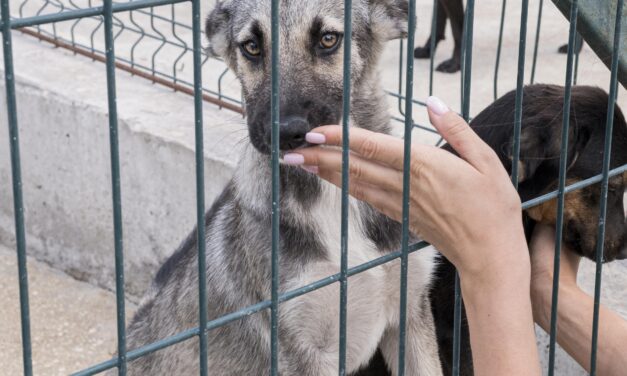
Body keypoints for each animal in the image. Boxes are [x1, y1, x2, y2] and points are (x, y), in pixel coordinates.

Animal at [124, 1, 442, 374]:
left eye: (328, 39)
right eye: (251, 46)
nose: (284, 133)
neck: (333, 195)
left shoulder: (411, 312)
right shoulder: (299, 348)